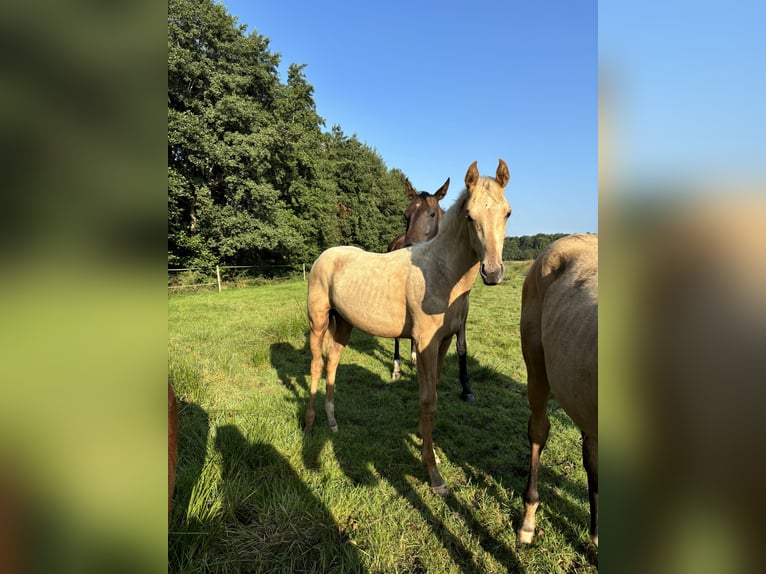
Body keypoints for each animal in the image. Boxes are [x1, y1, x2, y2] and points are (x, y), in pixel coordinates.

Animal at [388, 178, 476, 402]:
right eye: (406, 214)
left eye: (432, 214)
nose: (408, 249)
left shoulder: (462, 309)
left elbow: (461, 346)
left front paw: (466, 388)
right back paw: (397, 368)